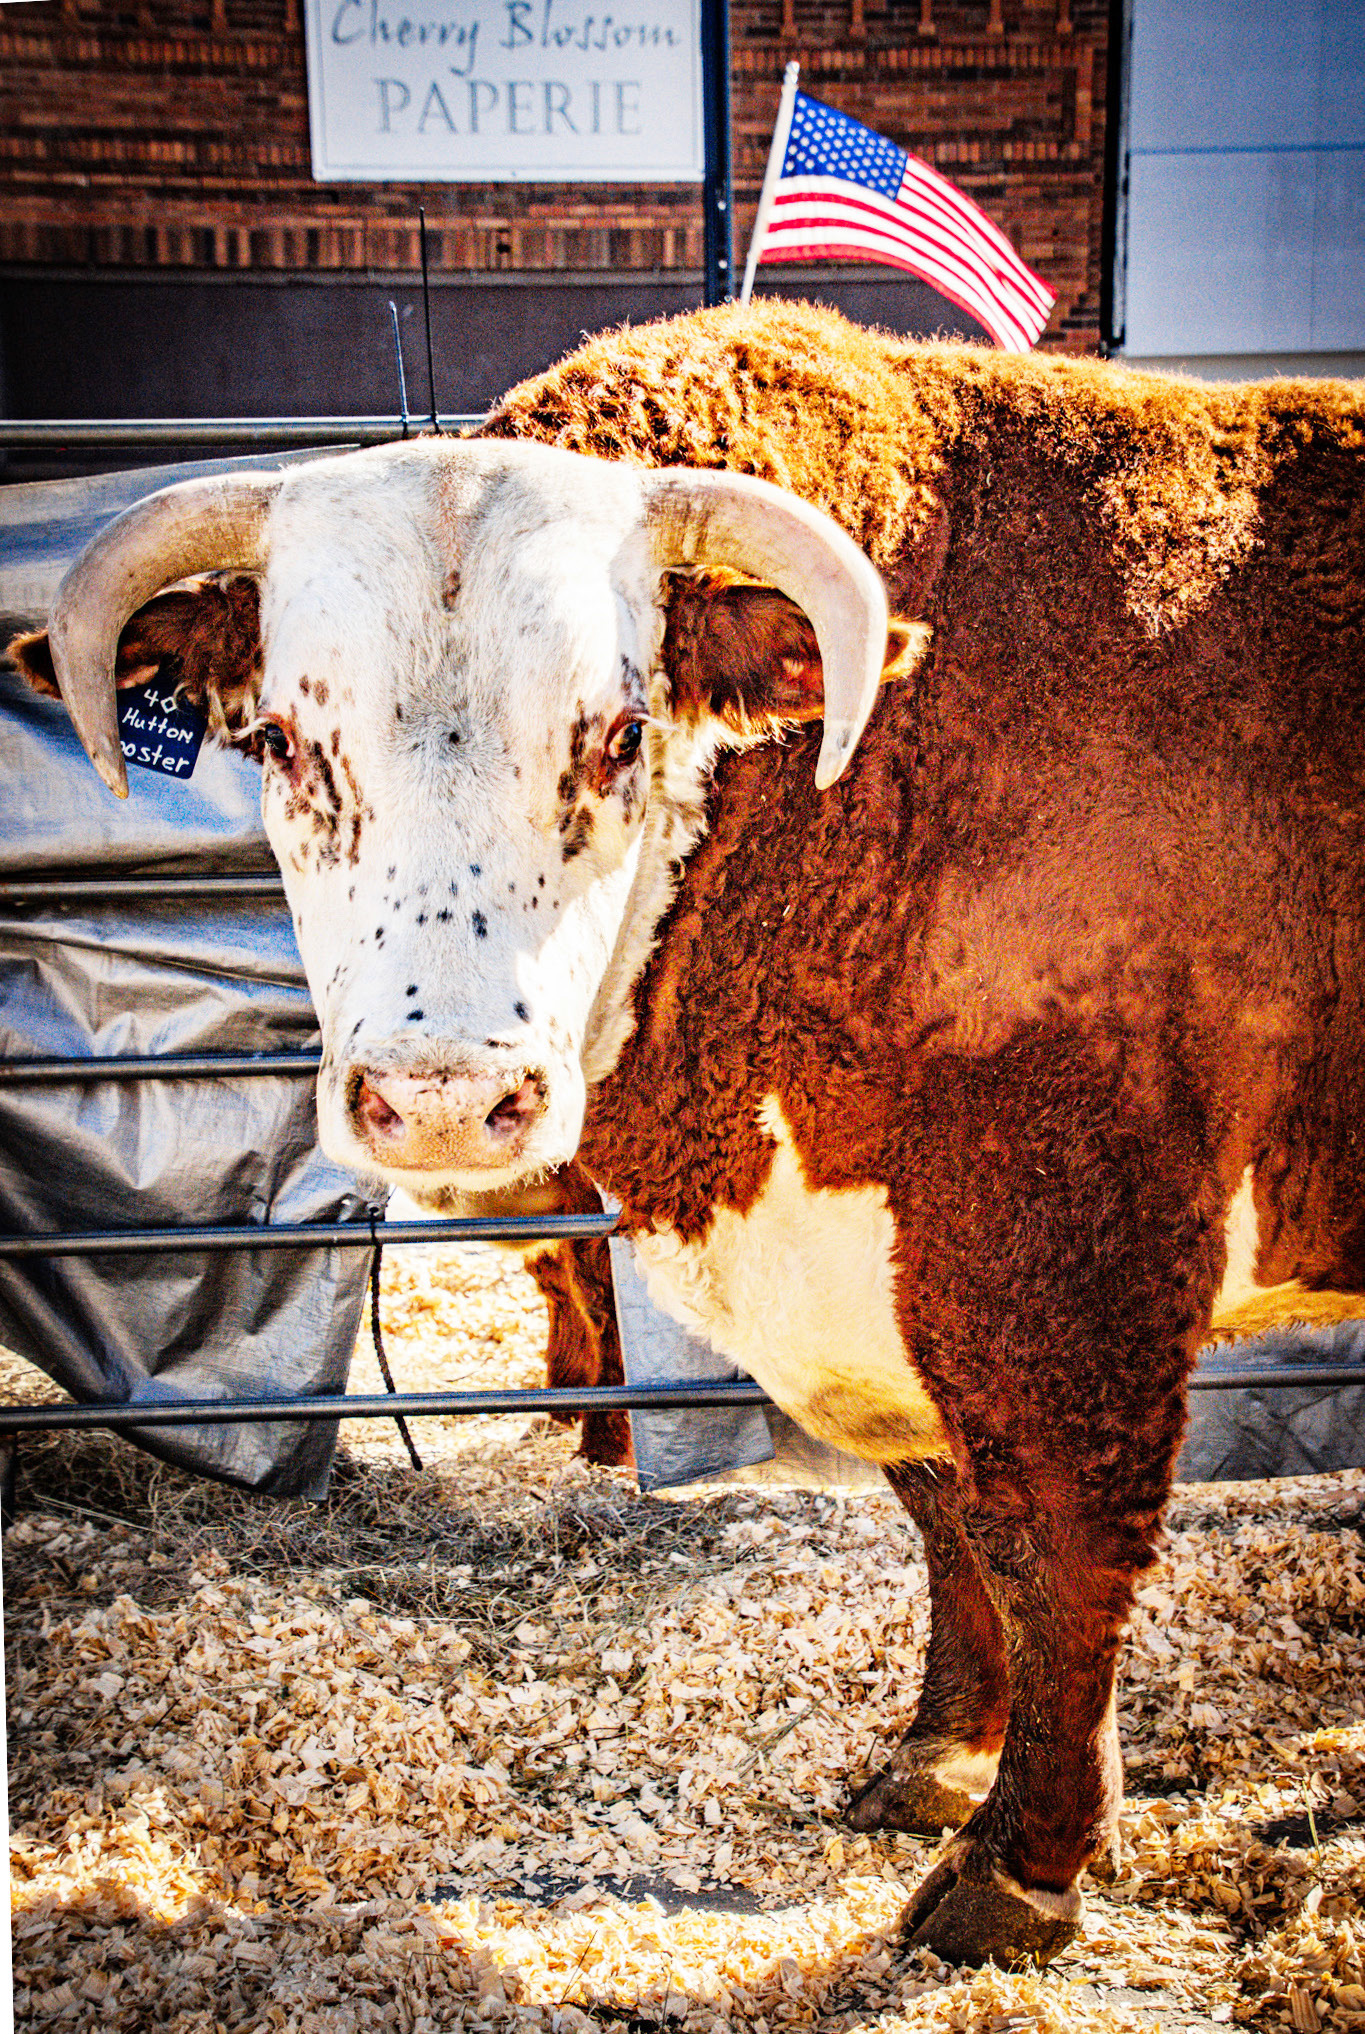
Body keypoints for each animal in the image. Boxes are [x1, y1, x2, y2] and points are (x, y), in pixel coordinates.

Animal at [10, 299, 1365, 1968]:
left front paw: (1021, 1864)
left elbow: (1053, 1538)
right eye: (275, 738)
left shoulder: (1059, 1256)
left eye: (619, 732)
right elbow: (947, 1515)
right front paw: (941, 1749)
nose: (444, 1095)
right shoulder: (877, 1288)